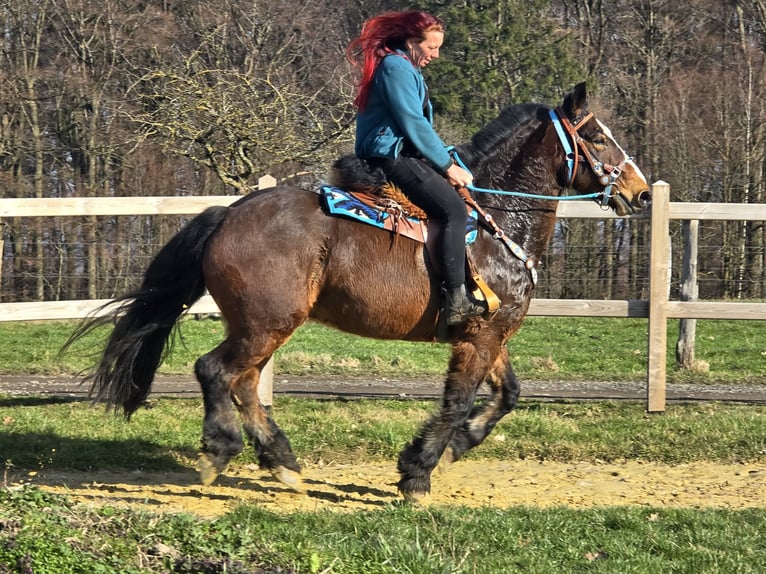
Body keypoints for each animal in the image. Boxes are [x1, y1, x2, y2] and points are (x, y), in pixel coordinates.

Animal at [67, 82, 650, 502]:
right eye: (598, 138)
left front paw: (450, 450)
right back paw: (221, 448)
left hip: (262, 327)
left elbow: (507, 396)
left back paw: (282, 463)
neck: (494, 223)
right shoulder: (478, 337)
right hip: (266, 323)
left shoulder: (493, 335)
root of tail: (228, 214)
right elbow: (458, 401)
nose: (641, 193)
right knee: (215, 371)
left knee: (245, 383)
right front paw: (417, 474)